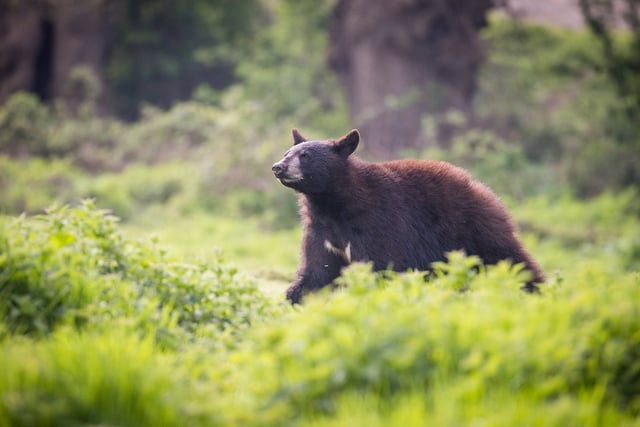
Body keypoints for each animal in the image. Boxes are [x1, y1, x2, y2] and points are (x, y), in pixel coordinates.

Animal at [272, 128, 544, 304]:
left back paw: (535, 290)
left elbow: (379, 267)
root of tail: (482, 189)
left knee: (509, 258)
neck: (335, 205)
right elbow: (317, 272)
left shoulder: (378, 223)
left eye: (305, 156)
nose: (278, 167)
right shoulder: (322, 230)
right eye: (287, 152)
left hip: (472, 228)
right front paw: (291, 299)